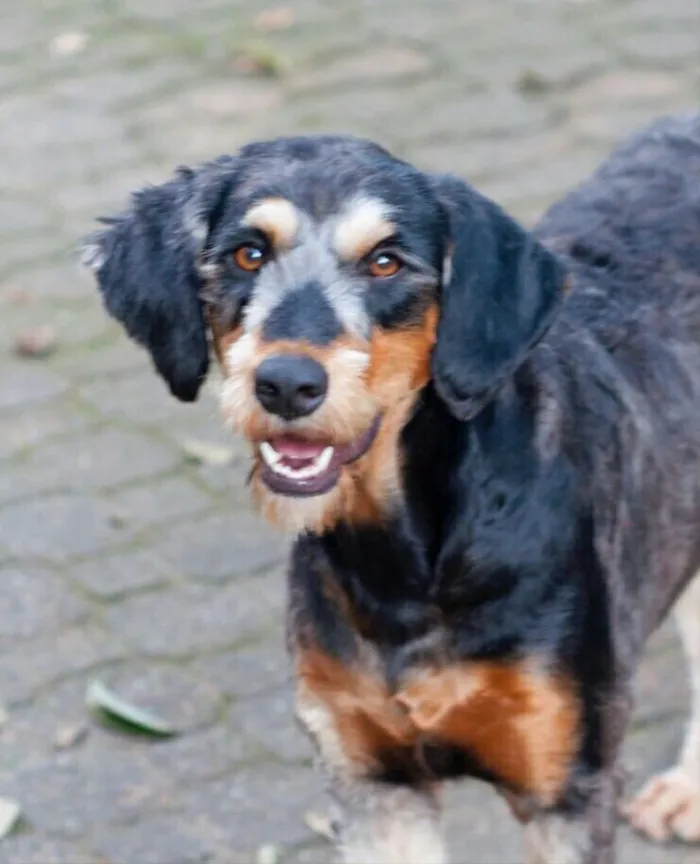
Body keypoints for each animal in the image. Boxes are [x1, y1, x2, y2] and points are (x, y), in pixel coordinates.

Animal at [80, 116, 700, 864]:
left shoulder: (566, 784)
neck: (409, 556)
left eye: (386, 262)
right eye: (247, 254)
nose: (286, 384)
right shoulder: (370, 779)